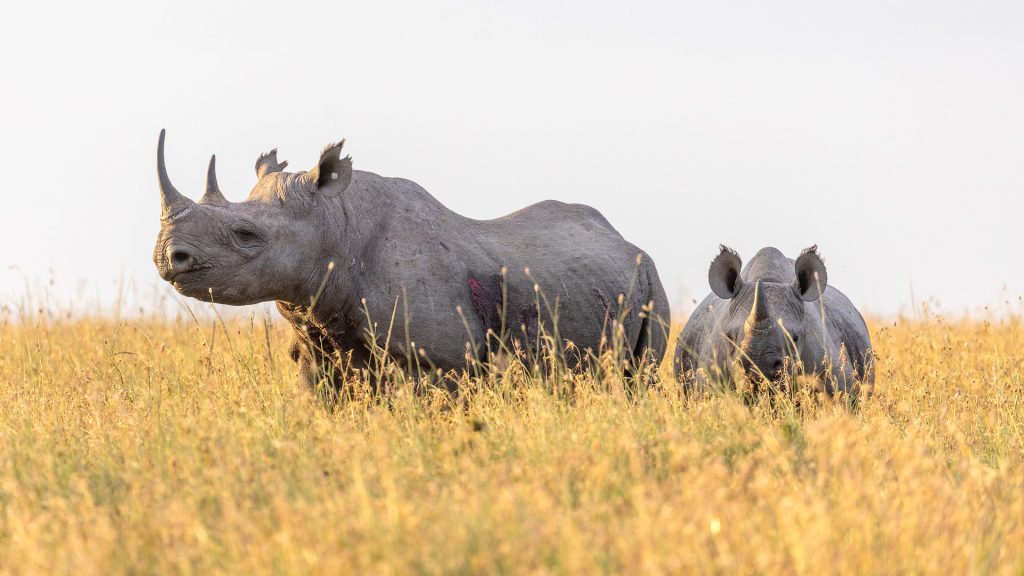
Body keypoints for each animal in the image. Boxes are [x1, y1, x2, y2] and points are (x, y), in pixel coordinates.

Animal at [153, 130, 670, 391]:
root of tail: (625, 239)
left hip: (650, 277)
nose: (166, 257)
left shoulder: (441, 360)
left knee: (640, 375)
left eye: (246, 235)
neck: (335, 226)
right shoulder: (319, 345)